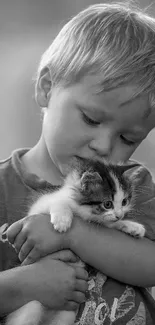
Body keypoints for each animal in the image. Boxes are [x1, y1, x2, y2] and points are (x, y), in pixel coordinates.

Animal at [1, 158, 146, 324]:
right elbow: (59, 203)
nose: (119, 215)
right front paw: (62, 221)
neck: (81, 210)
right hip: (31, 307)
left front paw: (132, 226)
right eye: (107, 204)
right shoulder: (39, 207)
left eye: (124, 201)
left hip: (66, 315)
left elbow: (112, 225)